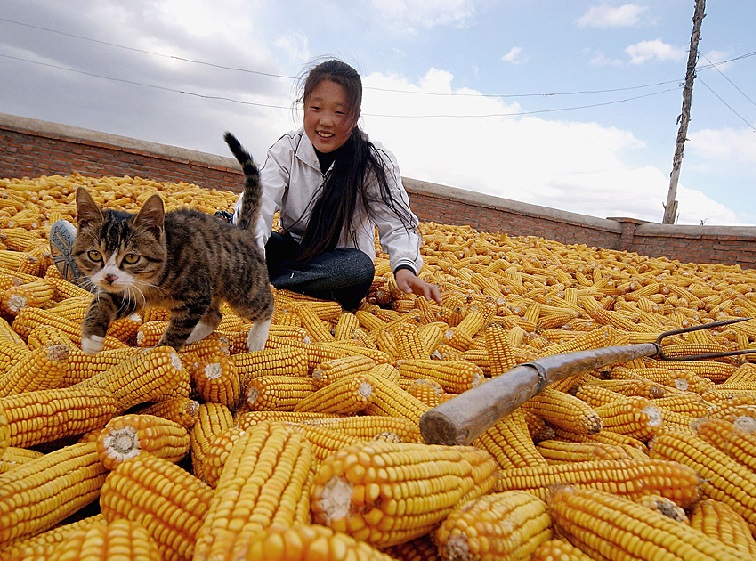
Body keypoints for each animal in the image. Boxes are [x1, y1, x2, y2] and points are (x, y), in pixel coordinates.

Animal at [74, 131, 274, 352]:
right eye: (94, 254)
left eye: (131, 258)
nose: (109, 277)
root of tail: (242, 231)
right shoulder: (130, 291)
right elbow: (103, 300)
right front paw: (91, 337)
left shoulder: (196, 297)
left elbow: (176, 333)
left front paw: (164, 351)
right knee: (215, 316)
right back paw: (194, 337)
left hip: (243, 289)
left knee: (265, 306)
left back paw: (257, 339)